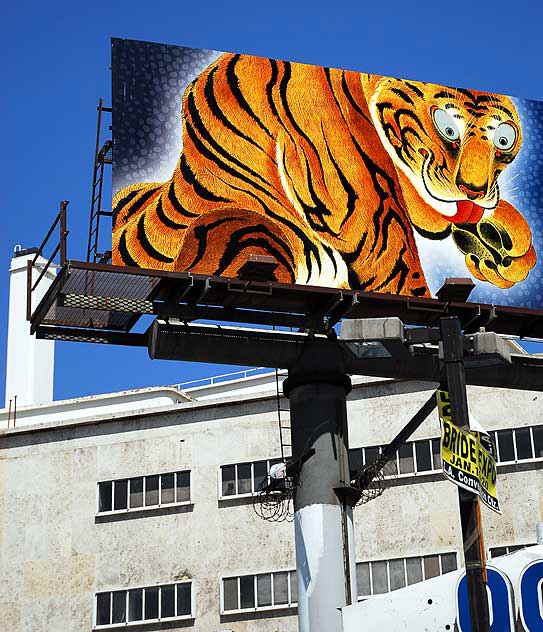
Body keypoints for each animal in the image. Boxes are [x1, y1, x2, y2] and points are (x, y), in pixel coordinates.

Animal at [112, 51, 536, 294]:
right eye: (448, 129)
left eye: (504, 141)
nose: (474, 190)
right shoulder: (371, 218)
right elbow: (402, 274)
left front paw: (497, 248)